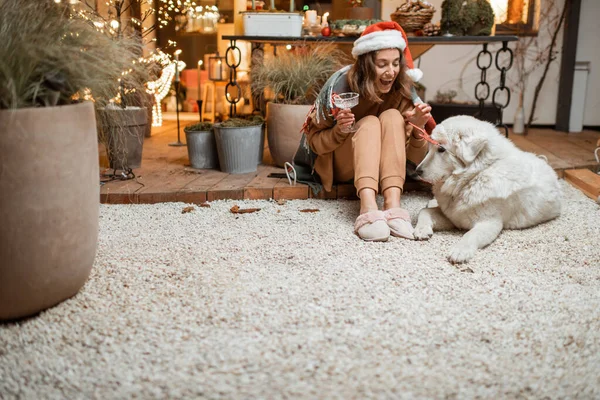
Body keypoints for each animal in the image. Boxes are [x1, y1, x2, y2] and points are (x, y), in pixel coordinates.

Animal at [412, 115, 564, 262]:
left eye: (441, 149)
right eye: (430, 148)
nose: (417, 171)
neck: (475, 176)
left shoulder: (489, 223)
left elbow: (470, 234)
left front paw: (460, 251)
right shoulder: (453, 217)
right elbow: (424, 211)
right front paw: (421, 229)